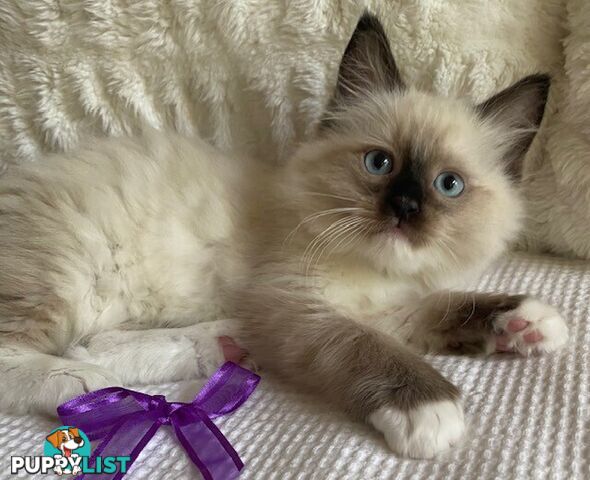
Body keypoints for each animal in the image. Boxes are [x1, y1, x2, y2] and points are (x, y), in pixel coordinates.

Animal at [0, 14, 568, 458]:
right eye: (379, 163)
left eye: (448, 185)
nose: (405, 207)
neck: (379, 271)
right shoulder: (296, 304)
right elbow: (366, 348)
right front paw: (431, 412)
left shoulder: (389, 310)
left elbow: (449, 306)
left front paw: (529, 322)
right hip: (66, 277)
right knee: (37, 354)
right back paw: (82, 386)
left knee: (97, 343)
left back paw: (220, 346)